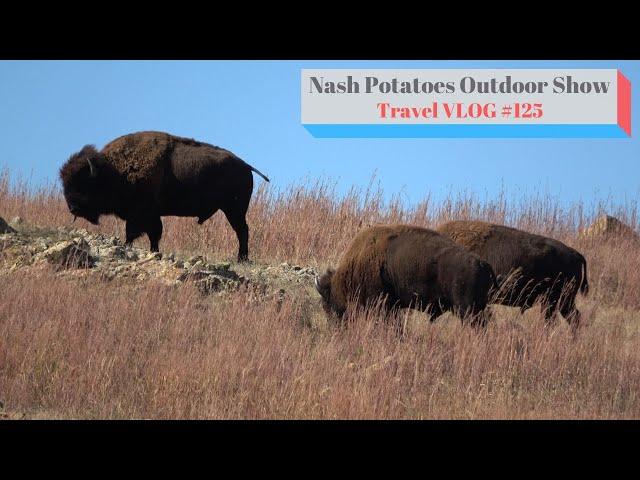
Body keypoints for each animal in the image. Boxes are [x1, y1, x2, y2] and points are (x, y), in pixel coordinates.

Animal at [58, 130, 268, 262]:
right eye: (65, 183)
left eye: (84, 183)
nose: (72, 207)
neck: (113, 170)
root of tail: (246, 166)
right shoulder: (151, 216)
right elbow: (154, 235)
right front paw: (154, 251)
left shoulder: (141, 214)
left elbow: (134, 233)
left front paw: (128, 248)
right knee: (242, 231)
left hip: (234, 210)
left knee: (242, 231)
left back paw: (242, 259)